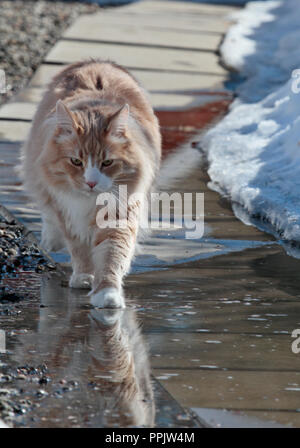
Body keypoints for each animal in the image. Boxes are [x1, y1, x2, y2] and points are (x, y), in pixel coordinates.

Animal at [20, 59, 162, 308]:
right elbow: (80, 250)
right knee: (47, 213)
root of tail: (96, 62)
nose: (91, 182)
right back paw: (50, 240)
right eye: (76, 161)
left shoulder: (119, 214)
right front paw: (84, 277)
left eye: (107, 162)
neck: (90, 203)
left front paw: (108, 294)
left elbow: (111, 255)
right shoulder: (67, 213)